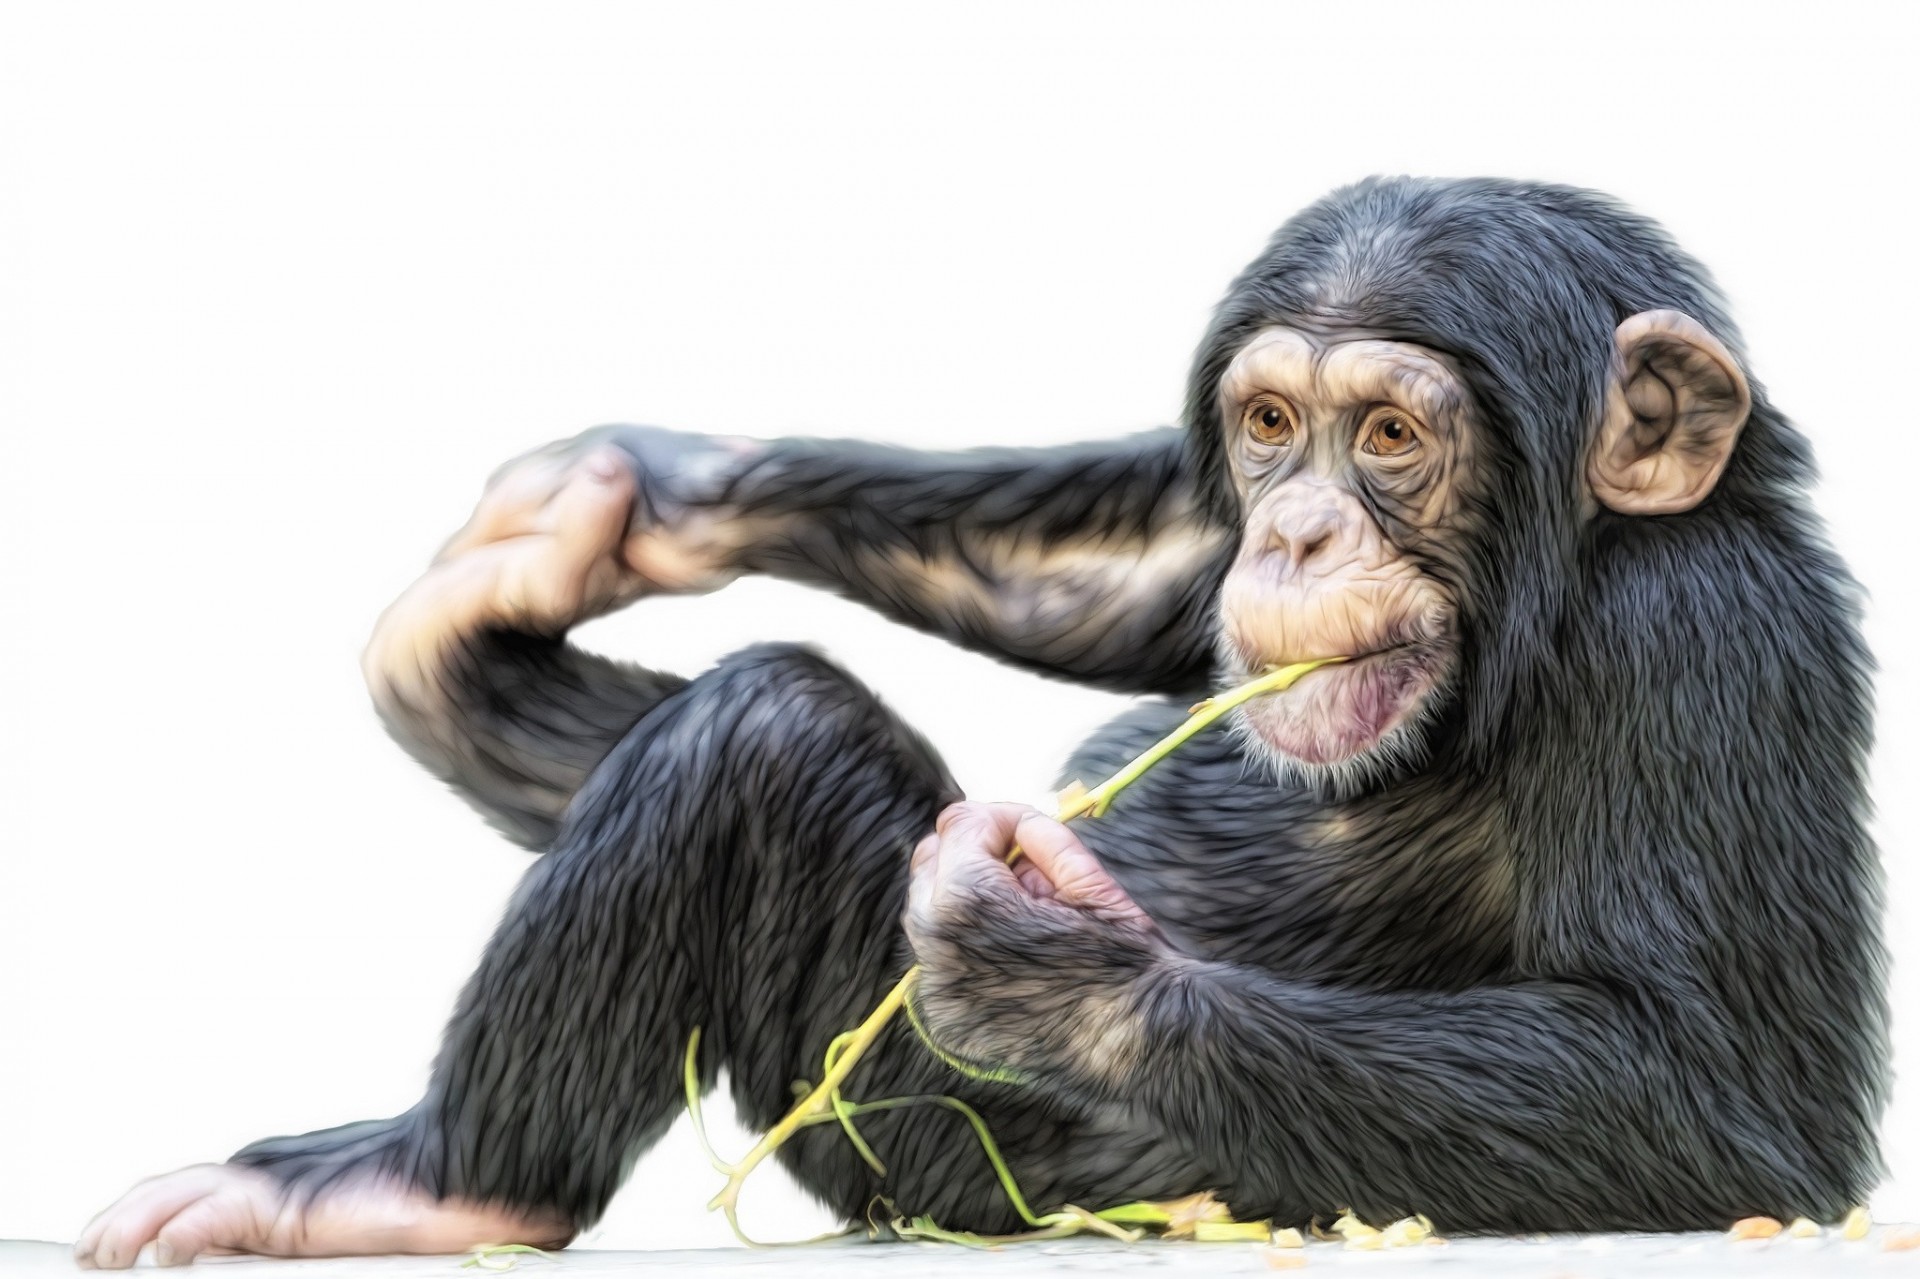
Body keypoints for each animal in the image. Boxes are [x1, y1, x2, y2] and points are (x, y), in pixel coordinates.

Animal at [75, 176, 1884, 1268]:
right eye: (1272, 424)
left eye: (1389, 436)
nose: (1298, 532)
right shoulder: (1184, 543)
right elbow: (1133, 560)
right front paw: (647, 496)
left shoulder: (1698, 637)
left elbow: (1723, 1089)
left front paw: (1049, 963)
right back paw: (469, 671)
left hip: (944, 1151)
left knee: (760, 730)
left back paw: (428, 1179)